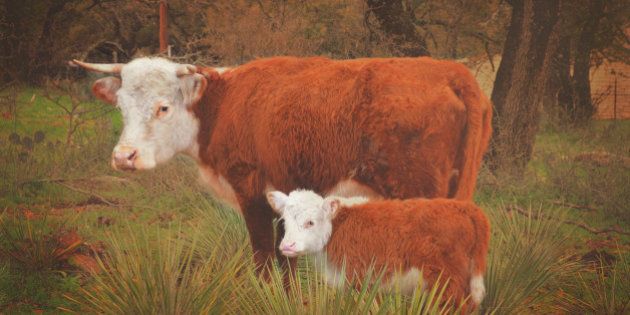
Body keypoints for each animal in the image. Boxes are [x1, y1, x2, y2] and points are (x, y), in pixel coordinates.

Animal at [70, 56, 494, 276]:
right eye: (121, 105)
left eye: (163, 107)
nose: (124, 156)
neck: (223, 105)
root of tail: (450, 71)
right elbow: (285, 259)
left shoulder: (251, 192)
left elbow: (262, 256)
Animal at [270, 190, 492, 312]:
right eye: (284, 221)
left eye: (310, 222)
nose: (286, 246)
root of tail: (468, 208)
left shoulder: (361, 281)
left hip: (448, 284)